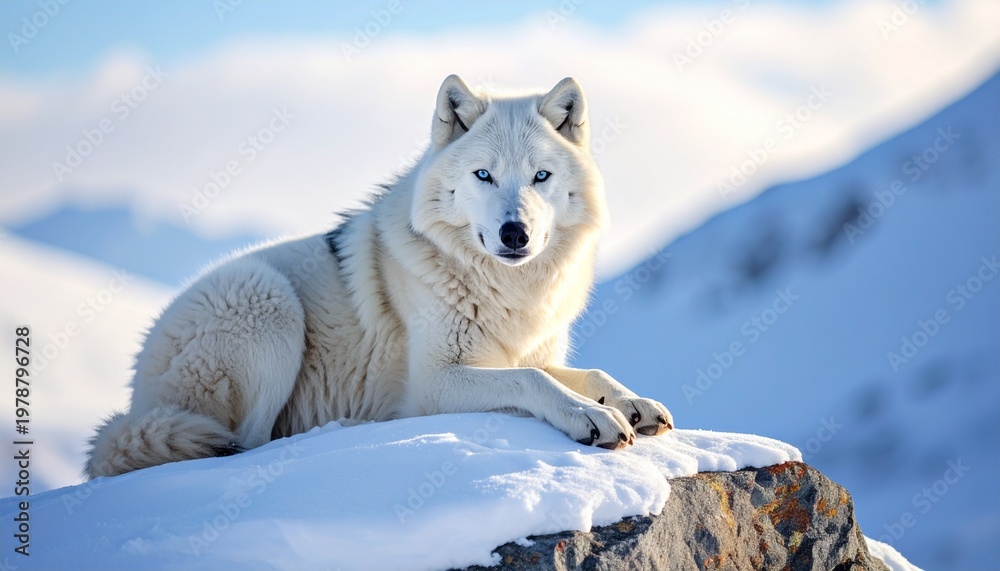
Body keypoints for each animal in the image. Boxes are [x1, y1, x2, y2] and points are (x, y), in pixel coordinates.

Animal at [86, 75, 674, 479]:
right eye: (484, 175)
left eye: (541, 177)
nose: (515, 234)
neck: (507, 290)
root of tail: (135, 398)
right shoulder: (436, 382)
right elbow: (533, 380)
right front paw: (591, 418)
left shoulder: (528, 351)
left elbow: (586, 372)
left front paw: (632, 403)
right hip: (268, 303)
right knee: (248, 441)